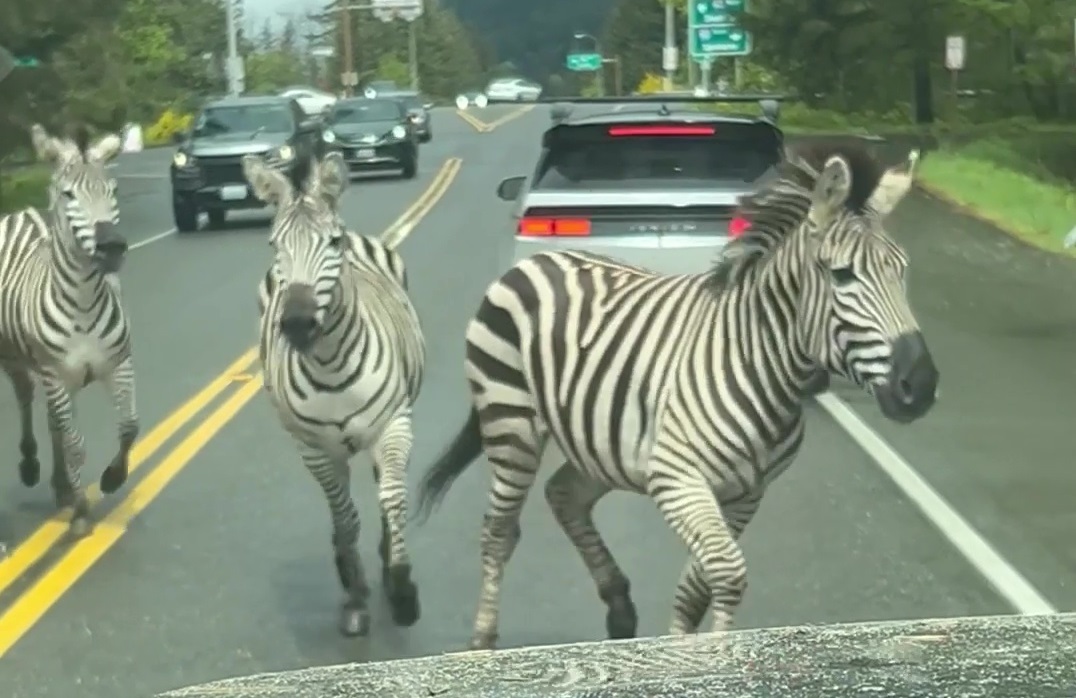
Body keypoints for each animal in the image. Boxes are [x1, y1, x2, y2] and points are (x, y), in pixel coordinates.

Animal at [0, 123, 136, 538]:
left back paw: (60, 486)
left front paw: (111, 478)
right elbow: (76, 445)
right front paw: (80, 513)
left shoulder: (119, 365)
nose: (112, 247)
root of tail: (19, 213)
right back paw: (31, 467)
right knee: (26, 399)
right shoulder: (56, 374)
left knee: (53, 421)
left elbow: (129, 427)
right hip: (18, 361)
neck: (84, 304)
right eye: (68, 194)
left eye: (114, 190)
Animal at [243, 148, 425, 638]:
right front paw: (356, 597)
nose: (297, 324)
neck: (331, 366)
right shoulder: (313, 448)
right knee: (340, 510)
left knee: (384, 488)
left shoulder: (394, 425)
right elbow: (345, 516)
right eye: (274, 246)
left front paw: (402, 588)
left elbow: (394, 497)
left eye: (332, 244)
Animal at [414, 140, 939, 650]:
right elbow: (728, 574)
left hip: (601, 442)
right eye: (842, 275)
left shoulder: (747, 493)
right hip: (510, 419)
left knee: (563, 495)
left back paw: (619, 608)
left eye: (903, 272)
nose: (921, 386)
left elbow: (696, 588)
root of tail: (537, 260)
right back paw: (483, 638)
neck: (759, 364)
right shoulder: (677, 479)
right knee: (500, 530)